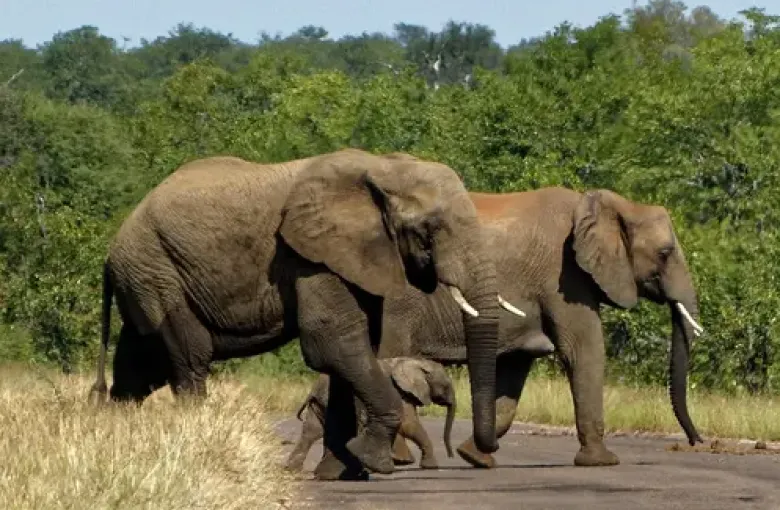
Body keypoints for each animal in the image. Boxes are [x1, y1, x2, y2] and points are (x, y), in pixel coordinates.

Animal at [285, 357, 458, 472]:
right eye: (446, 386)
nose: (452, 455)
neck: (415, 361)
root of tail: (313, 390)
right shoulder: (398, 392)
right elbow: (408, 424)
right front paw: (430, 466)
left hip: (322, 404)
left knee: (312, 432)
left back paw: (292, 470)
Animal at [376, 186, 704, 469]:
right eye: (664, 253)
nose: (696, 441)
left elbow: (515, 369)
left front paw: (475, 458)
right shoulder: (564, 277)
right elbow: (584, 350)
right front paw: (603, 462)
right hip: (394, 307)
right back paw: (399, 459)